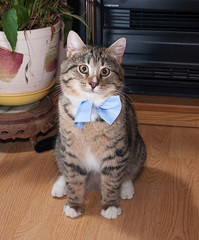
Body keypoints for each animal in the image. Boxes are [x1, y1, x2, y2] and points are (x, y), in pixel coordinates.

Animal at [50, 31, 145, 219]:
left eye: (105, 71)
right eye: (83, 68)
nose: (93, 83)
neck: (90, 108)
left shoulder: (116, 153)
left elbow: (112, 181)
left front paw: (110, 205)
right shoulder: (71, 152)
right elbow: (73, 178)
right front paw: (74, 204)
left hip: (138, 147)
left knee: (130, 171)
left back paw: (126, 188)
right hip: (59, 144)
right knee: (63, 168)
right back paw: (60, 186)